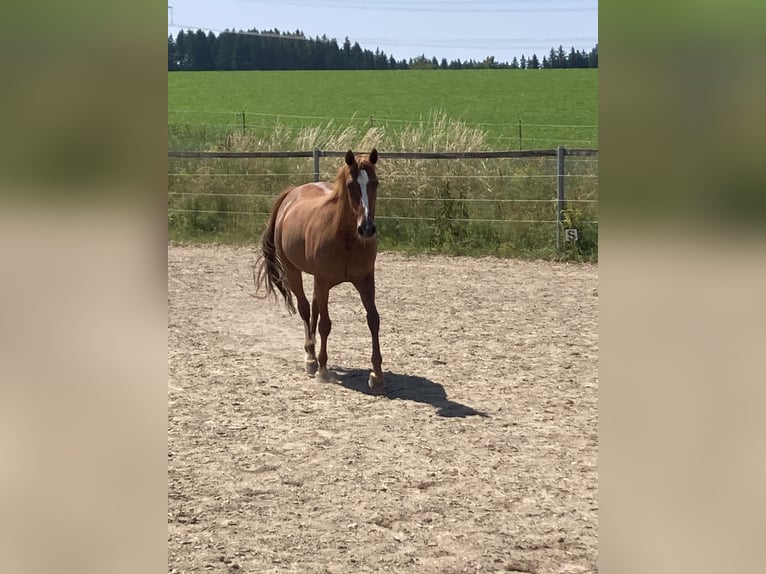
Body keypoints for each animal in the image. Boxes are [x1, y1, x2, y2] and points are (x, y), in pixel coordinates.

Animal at [254, 149, 384, 392]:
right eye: (351, 185)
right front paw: (322, 369)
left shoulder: (365, 279)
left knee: (313, 309)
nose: (367, 228)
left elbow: (373, 319)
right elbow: (325, 324)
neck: (345, 237)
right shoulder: (323, 281)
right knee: (305, 309)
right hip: (293, 271)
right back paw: (311, 358)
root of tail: (292, 194)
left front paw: (377, 374)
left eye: (375, 183)